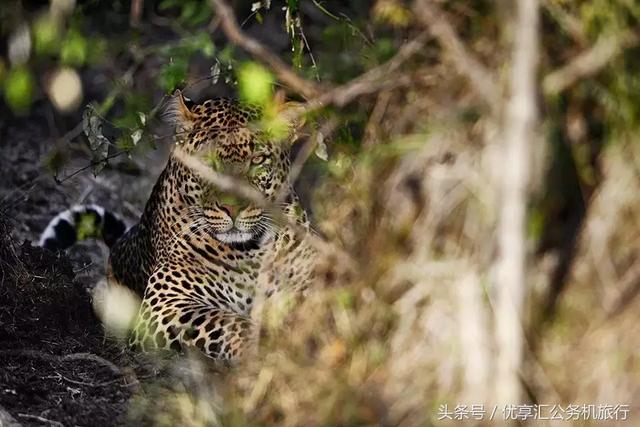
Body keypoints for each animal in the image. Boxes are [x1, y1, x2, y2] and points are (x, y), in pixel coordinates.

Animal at [39, 93, 316, 362]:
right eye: (208, 161)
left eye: (257, 160)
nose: (233, 208)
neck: (250, 250)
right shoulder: (166, 302)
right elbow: (226, 322)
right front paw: (260, 346)